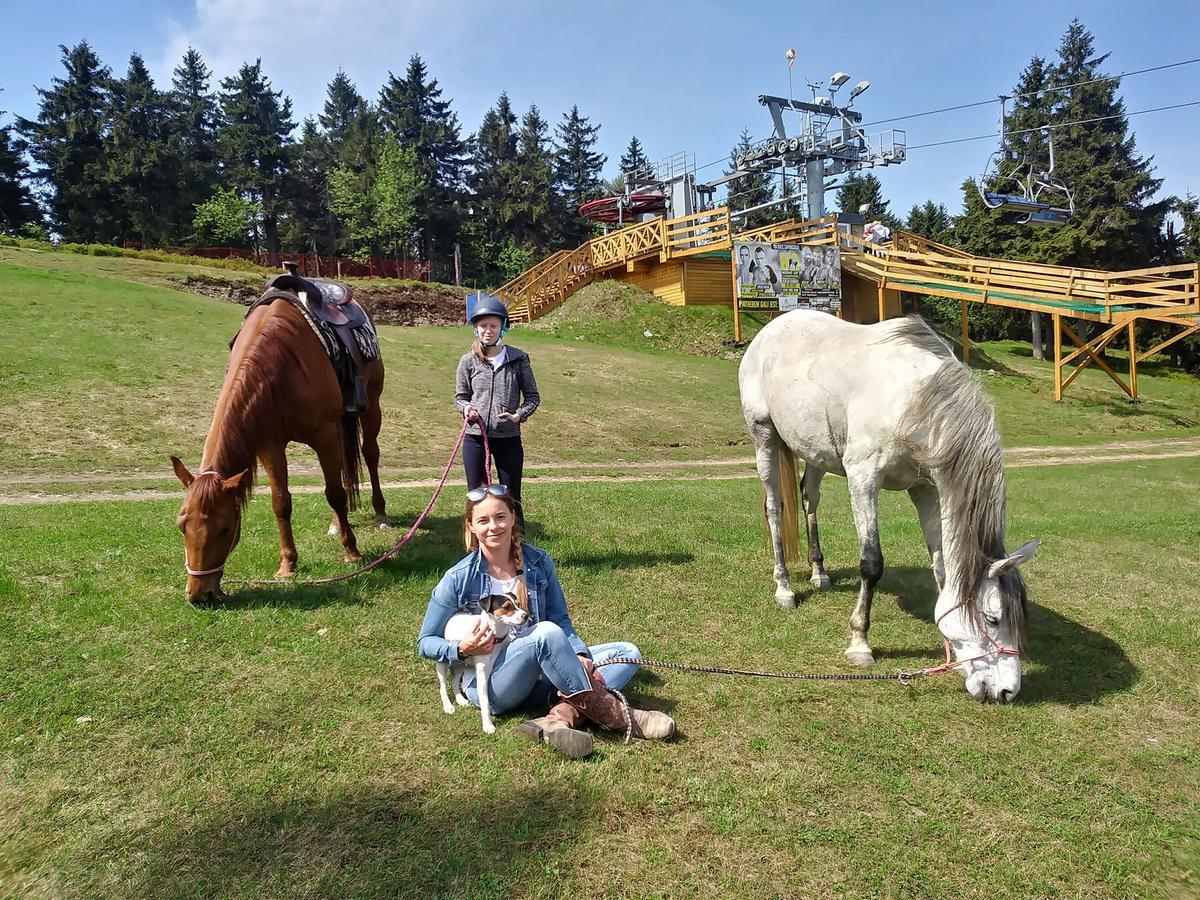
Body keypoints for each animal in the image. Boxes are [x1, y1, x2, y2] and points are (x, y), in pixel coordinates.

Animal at [171, 300, 386, 602]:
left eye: (225, 528)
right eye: (182, 525)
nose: (200, 595)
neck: (280, 367)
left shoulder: (324, 434)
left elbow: (334, 494)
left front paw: (351, 552)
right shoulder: (269, 444)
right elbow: (281, 503)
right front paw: (287, 565)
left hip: (371, 405)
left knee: (370, 454)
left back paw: (380, 514)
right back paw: (336, 524)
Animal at [439, 595, 528, 734]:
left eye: (518, 604)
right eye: (507, 606)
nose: (526, 615)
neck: (495, 637)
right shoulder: (482, 673)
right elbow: (485, 701)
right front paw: (488, 725)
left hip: (460, 663)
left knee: (454, 681)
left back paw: (460, 699)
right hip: (442, 661)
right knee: (442, 686)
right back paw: (448, 706)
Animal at [734, 312, 1036, 705]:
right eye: (993, 618)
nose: (1006, 691)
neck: (915, 399)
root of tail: (772, 328)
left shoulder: (927, 490)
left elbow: (941, 566)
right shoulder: (863, 478)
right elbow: (871, 564)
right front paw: (860, 643)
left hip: (815, 451)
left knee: (808, 500)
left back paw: (819, 574)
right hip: (764, 437)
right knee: (774, 507)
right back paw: (784, 588)